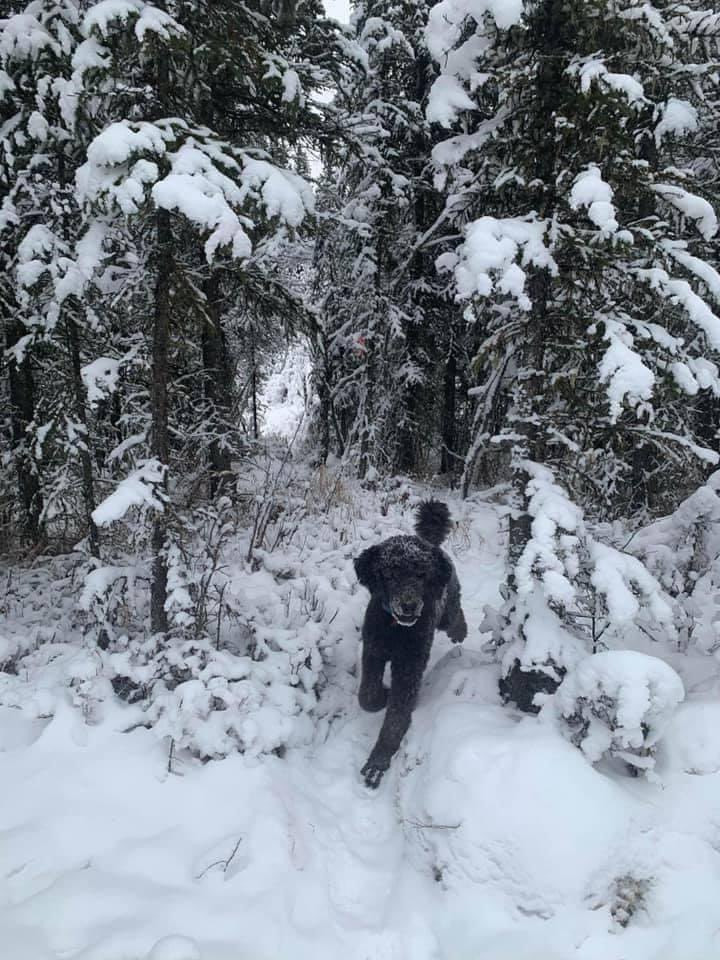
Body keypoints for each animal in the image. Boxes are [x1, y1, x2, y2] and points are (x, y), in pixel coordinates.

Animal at [352, 498, 466, 784]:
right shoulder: (373, 651)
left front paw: (378, 762)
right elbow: (367, 696)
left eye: (421, 575)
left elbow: (396, 718)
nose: (409, 606)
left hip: (446, 607)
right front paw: (382, 695)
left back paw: (460, 632)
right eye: (390, 574)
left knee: (455, 614)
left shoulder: (409, 667)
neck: (396, 630)